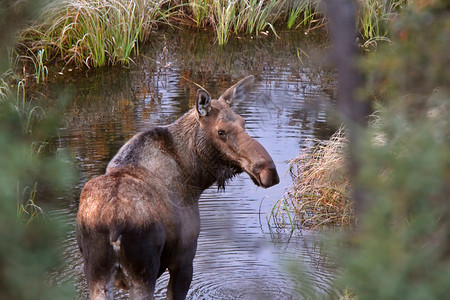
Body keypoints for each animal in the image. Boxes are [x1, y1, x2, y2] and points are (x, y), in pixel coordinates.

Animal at [76, 74, 280, 298]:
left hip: (96, 274)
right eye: (221, 131)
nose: (268, 171)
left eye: (243, 122)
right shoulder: (184, 258)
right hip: (143, 272)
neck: (195, 177)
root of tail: (114, 226)